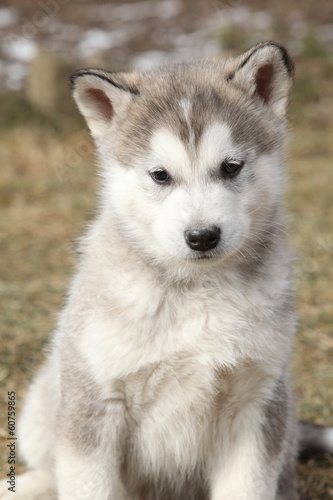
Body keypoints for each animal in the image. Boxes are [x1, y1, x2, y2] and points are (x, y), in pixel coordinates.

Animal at [1, 43, 330, 500]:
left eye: (231, 167)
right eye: (160, 175)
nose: (203, 236)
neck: (197, 292)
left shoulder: (255, 402)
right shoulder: (94, 402)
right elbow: (87, 483)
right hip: (41, 407)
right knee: (49, 471)